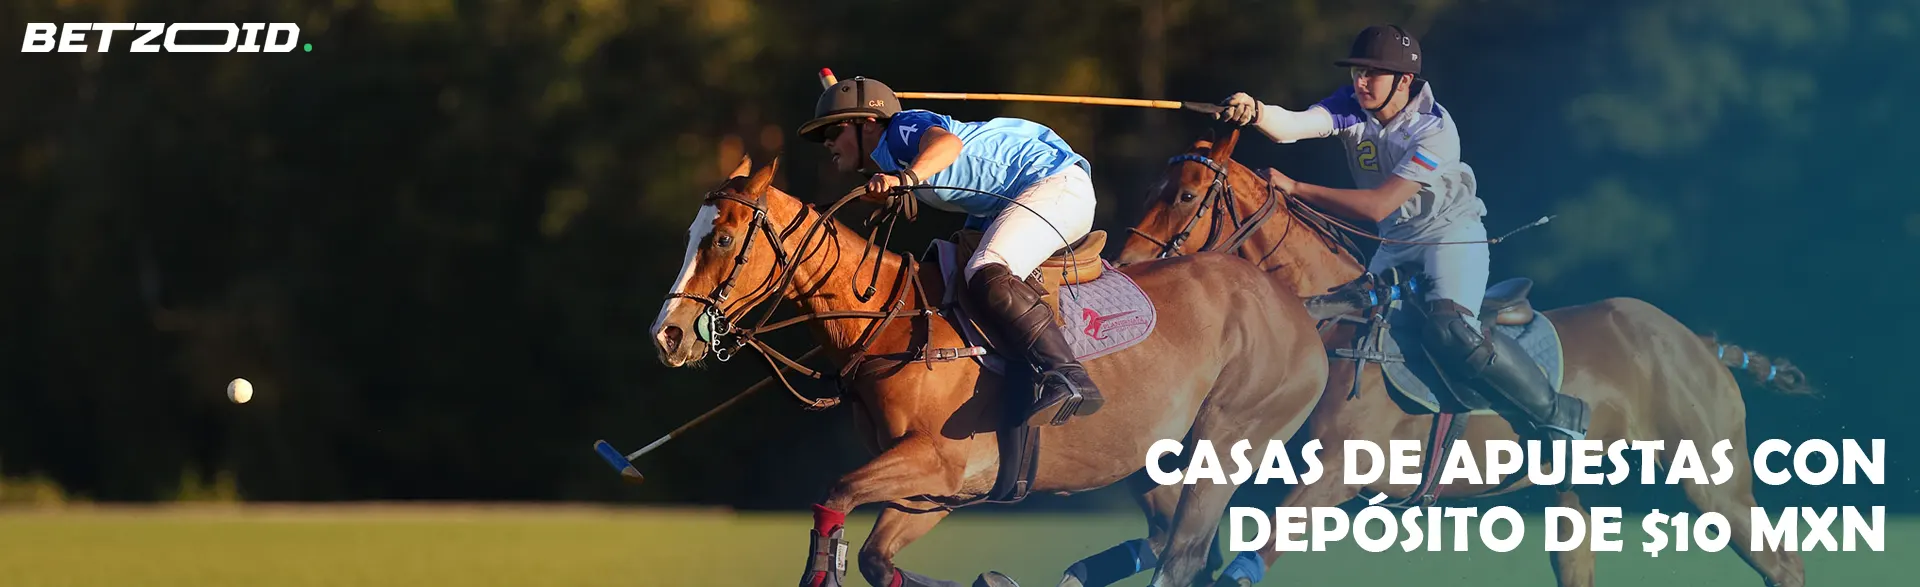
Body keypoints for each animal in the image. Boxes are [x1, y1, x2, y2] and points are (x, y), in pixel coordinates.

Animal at [647, 154, 1331, 587]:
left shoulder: (941, 461)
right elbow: (874, 560)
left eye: (722, 240)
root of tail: (1295, 307)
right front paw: (992, 580)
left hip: (1229, 445)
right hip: (1154, 463)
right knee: (1171, 543)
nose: (667, 335)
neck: (890, 322)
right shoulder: (940, 490)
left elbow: (834, 498)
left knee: (1184, 556)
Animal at [1059, 127, 1814, 587]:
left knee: (1783, 563)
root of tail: (1697, 341)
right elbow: (1175, 546)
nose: (1119, 270)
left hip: (1712, 477)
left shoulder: (1334, 479)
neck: (1325, 327)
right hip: (1573, 495)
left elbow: (1232, 565)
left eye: (1185, 194)